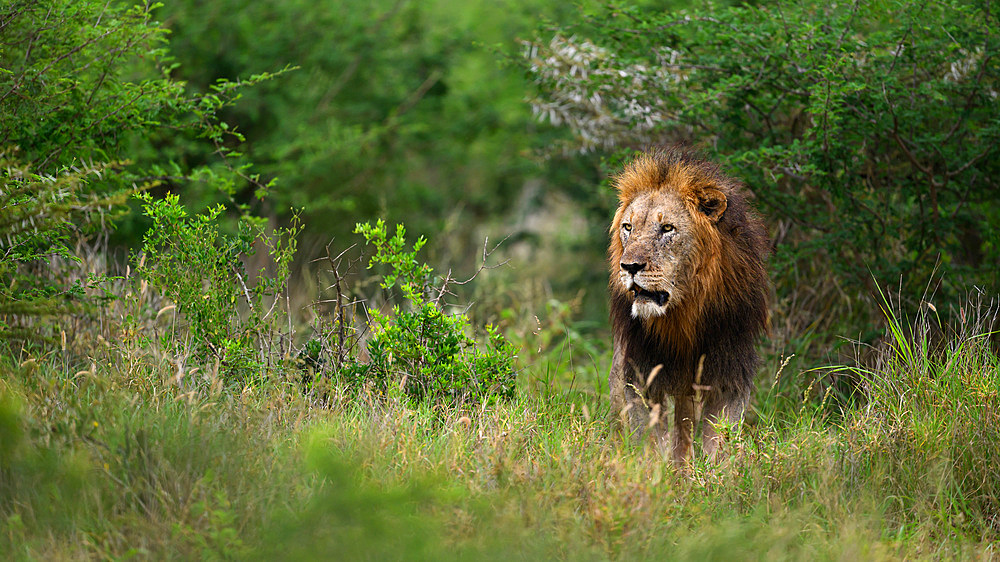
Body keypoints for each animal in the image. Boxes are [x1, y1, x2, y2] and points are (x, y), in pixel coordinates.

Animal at [604, 145, 768, 464]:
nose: (629, 267)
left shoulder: (729, 369)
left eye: (667, 228)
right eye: (628, 227)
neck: (683, 312)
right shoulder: (640, 371)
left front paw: (712, 475)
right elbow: (650, 438)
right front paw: (656, 471)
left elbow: (719, 440)